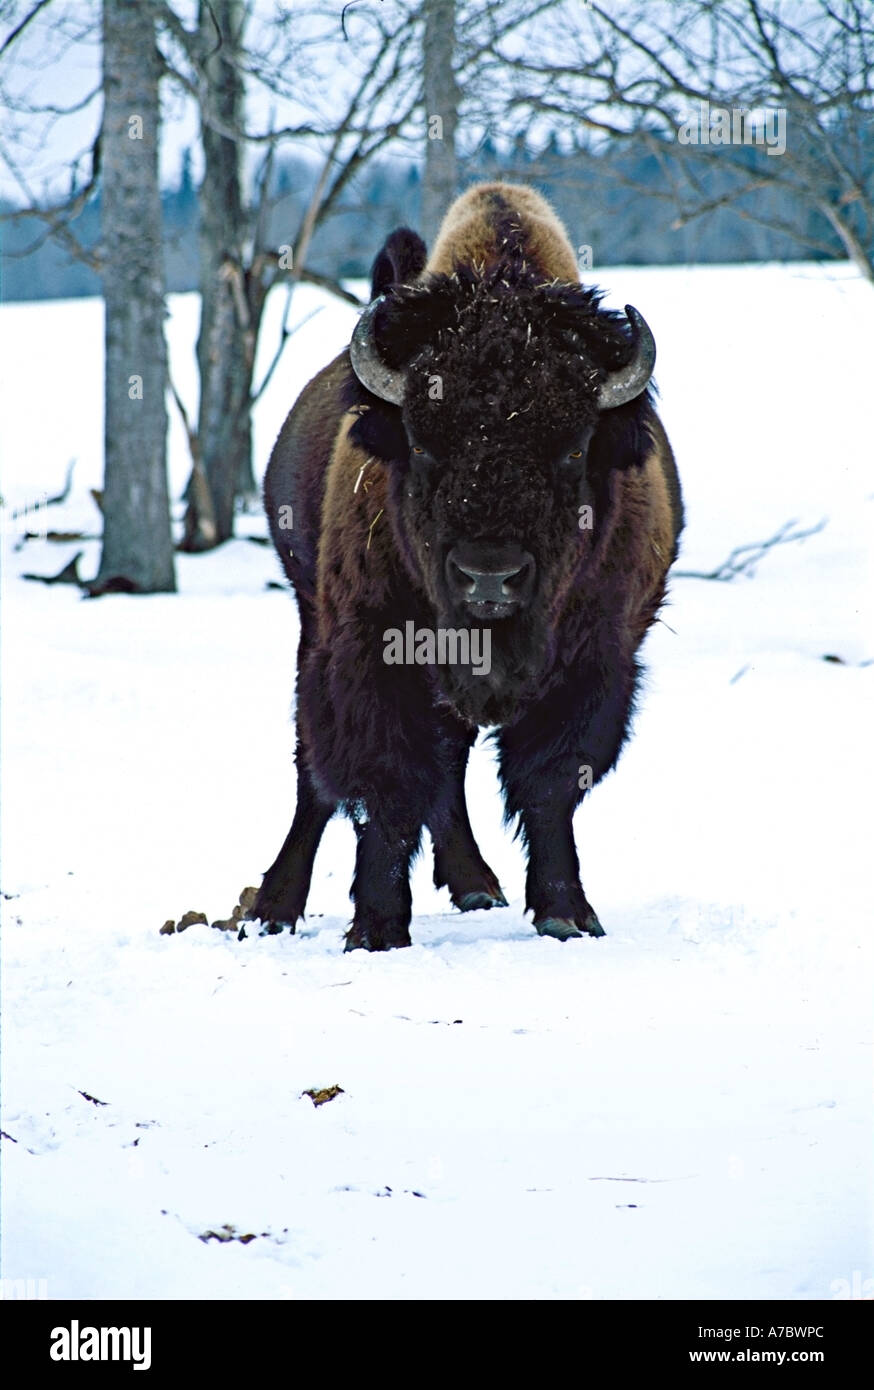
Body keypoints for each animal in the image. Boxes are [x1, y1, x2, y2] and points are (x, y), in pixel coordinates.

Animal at [252, 179, 680, 950]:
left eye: (574, 448)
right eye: (422, 444)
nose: (489, 575)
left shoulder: (599, 661)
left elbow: (547, 784)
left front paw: (567, 913)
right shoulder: (373, 651)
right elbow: (386, 787)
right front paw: (377, 928)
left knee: (446, 770)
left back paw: (477, 884)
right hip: (311, 628)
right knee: (315, 777)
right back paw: (274, 905)